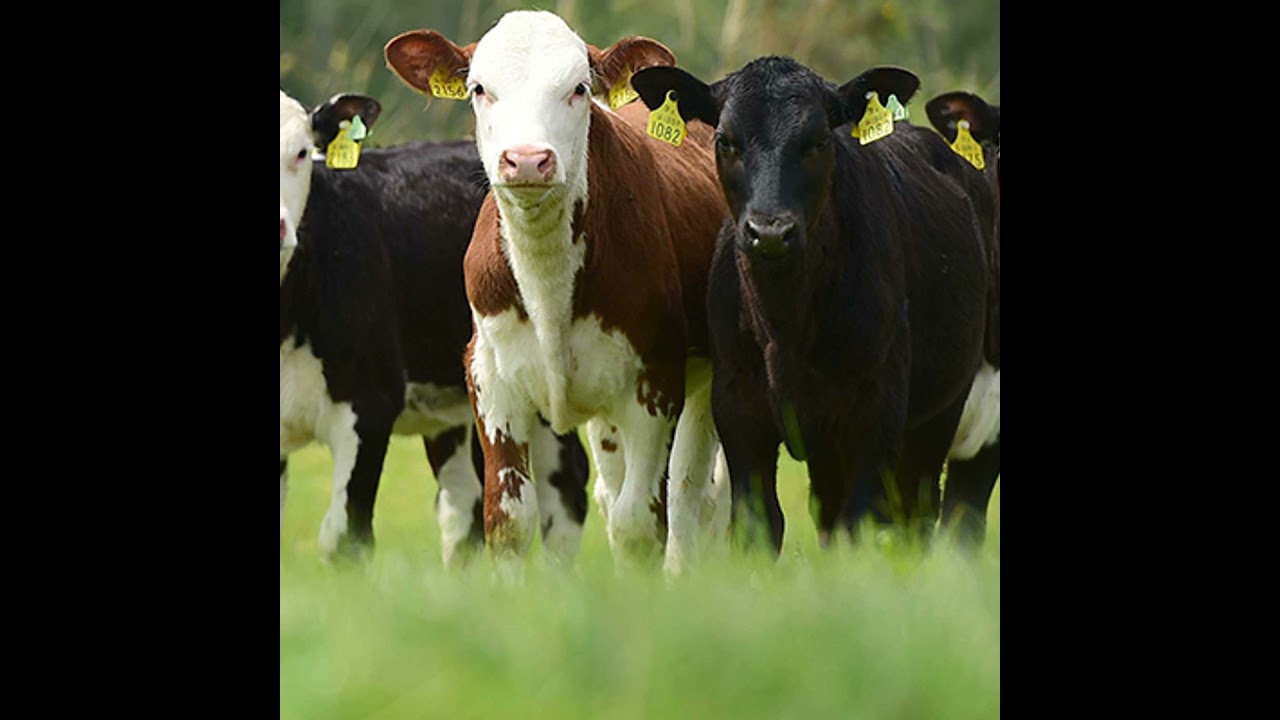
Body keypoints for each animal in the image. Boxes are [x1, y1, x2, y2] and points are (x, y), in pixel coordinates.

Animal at [384, 10, 730, 574]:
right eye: (479, 89)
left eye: (578, 88)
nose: (526, 160)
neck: (548, 282)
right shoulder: (489, 376)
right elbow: (508, 518)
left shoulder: (656, 380)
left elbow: (640, 522)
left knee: (691, 497)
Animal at [631, 57, 994, 552]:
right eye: (725, 140)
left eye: (820, 140)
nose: (769, 231)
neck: (786, 325)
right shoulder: (738, 408)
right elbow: (760, 524)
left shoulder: (876, 413)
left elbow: (861, 522)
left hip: (941, 412)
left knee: (920, 512)